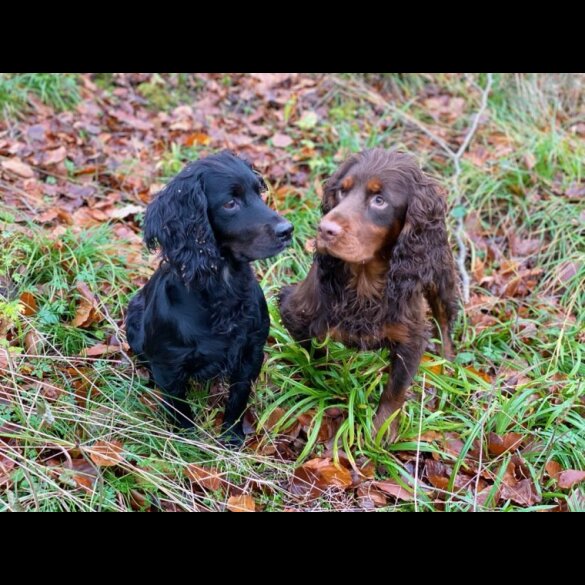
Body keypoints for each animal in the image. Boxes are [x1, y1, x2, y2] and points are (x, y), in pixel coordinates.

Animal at [126, 151, 292, 442]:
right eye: (230, 203)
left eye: (259, 192)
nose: (288, 229)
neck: (221, 288)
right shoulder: (169, 364)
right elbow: (179, 407)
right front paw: (189, 440)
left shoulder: (251, 352)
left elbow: (238, 397)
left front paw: (232, 437)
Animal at [280, 148, 460, 436]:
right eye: (342, 192)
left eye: (379, 200)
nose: (325, 230)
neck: (364, 280)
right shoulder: (295, 311)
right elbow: (315, 355)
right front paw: (329, 382)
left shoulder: (411, 338)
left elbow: (395, 389)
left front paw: (382, 432)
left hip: (439, 274)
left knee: (444, 320)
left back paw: (447, 364)